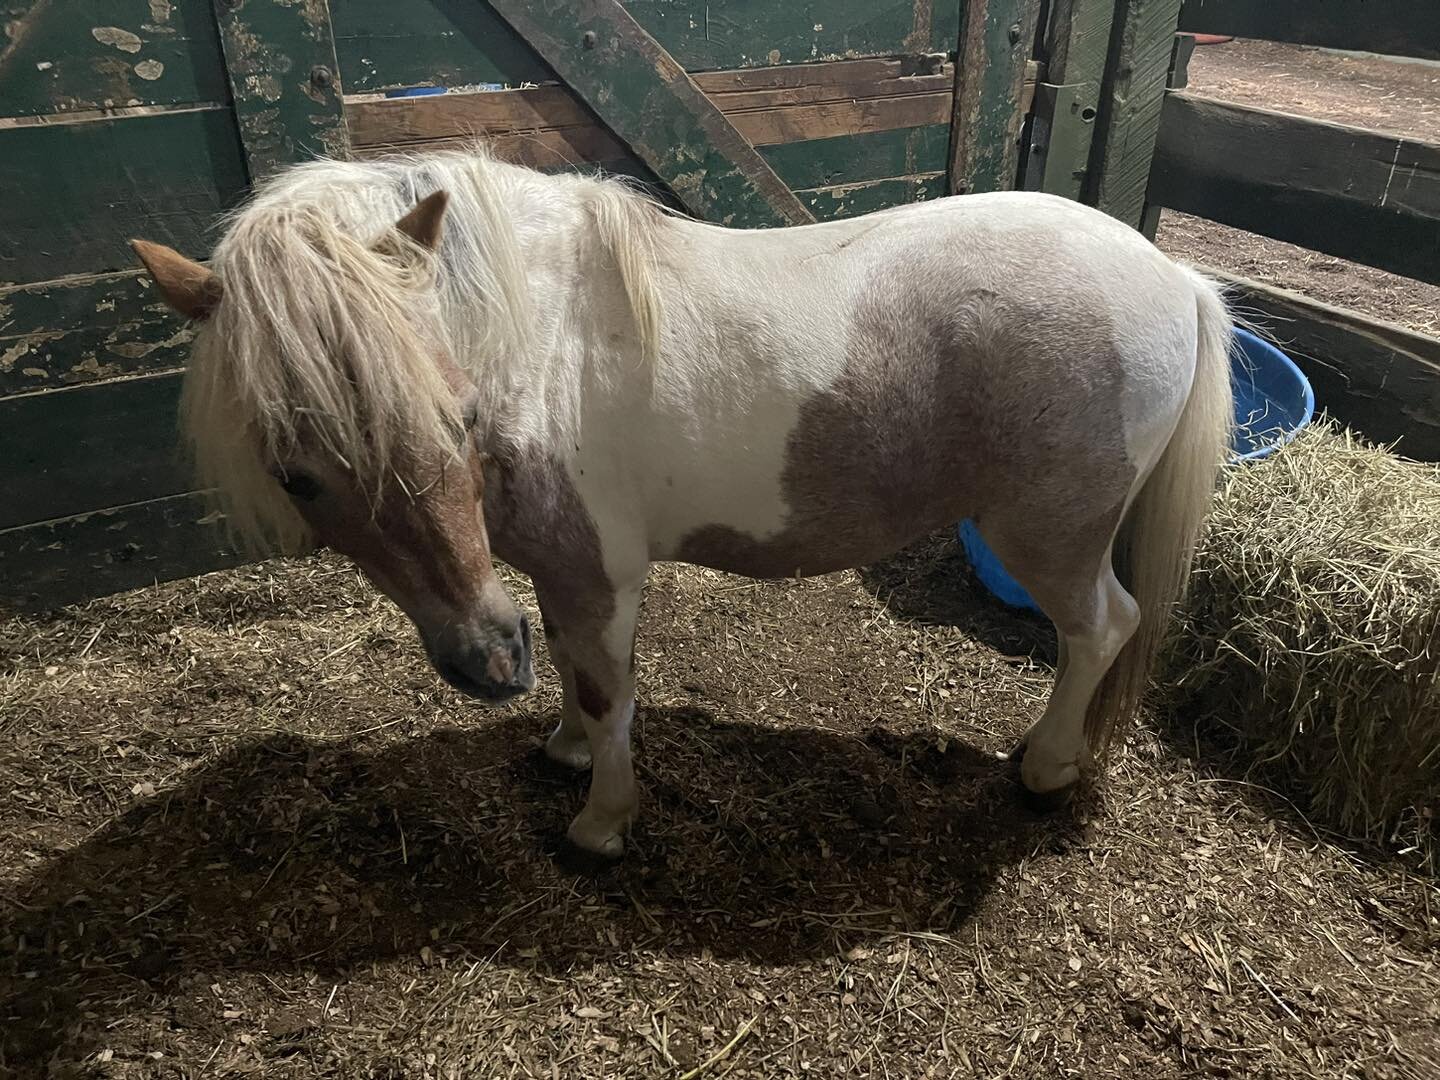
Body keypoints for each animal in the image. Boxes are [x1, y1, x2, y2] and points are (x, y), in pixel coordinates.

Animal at [131, 146, 1233, 857]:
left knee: (1102, 629)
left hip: (1053, 537)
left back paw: (1045, 769)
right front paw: (565, 752)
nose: (486, 662)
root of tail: (1172, 273)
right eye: (296, 474)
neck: (541, 342)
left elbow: (609, 691)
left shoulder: (602, 572)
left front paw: (601, 822)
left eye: (459, 416)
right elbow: (573, 670)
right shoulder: (558, 575)